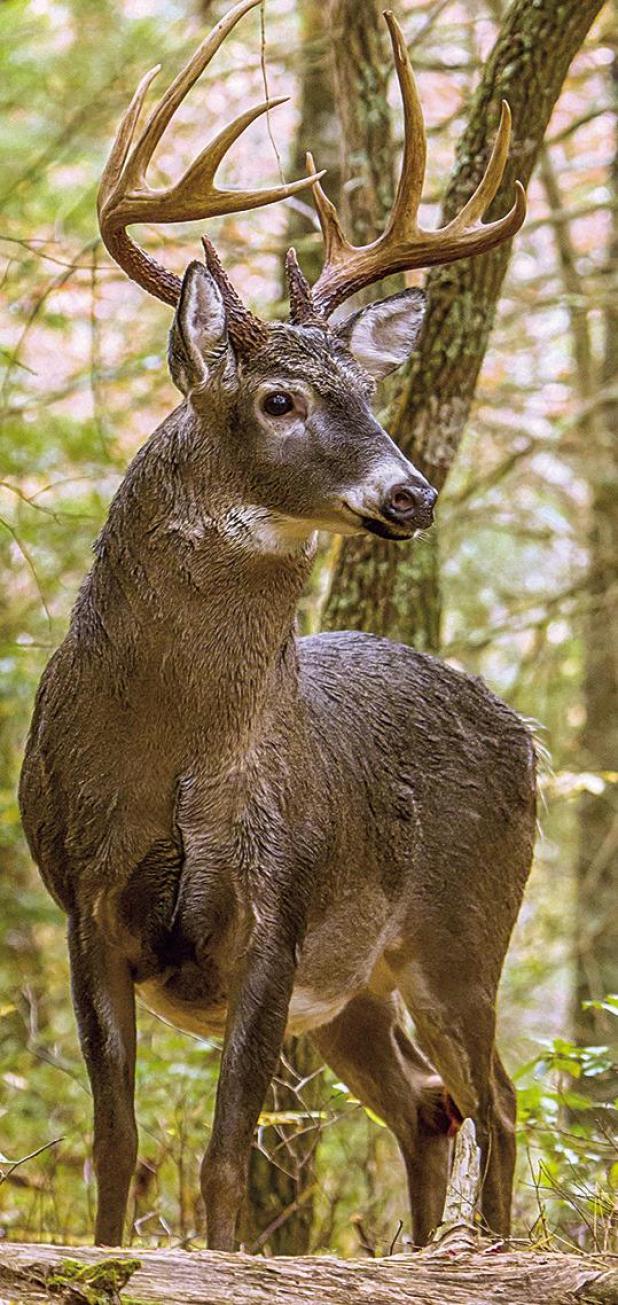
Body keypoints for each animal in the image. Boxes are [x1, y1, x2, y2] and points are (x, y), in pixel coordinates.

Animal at [19, 0, 535, 1253]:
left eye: (372, 391)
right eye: (280, 400)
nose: (411, 493)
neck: (171, 755)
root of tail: (530, 739)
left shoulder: (281, 904)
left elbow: (224, 1160)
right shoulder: (83, 899)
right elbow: (118, 1147)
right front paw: (111, 1256)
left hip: (463, 929)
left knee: (494, 1098)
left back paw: (486, 1253)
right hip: (355, 997)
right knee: (432, 1105)